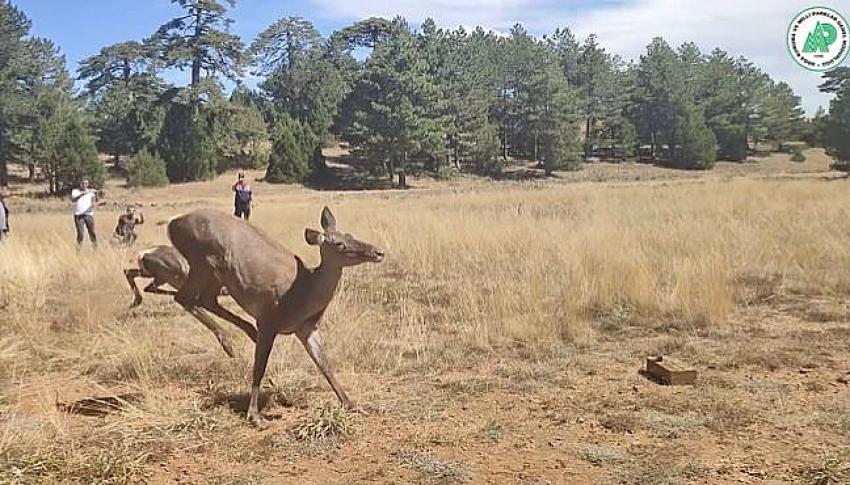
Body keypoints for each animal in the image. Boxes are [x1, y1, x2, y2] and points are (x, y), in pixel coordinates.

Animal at [166, 206, 384, 426]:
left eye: (350, 235)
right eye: (339, 244)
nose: (378, 252)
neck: (304, 292)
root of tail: (172, 224)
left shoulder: (306, 327)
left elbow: (324, 363)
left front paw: (352, 404)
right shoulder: (269, 320)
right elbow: (259, 366)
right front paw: (255, 416)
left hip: (214, 272)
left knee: (205, 299)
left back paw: (243, 336)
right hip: (202, 261)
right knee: (184, 297)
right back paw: (229, 343)